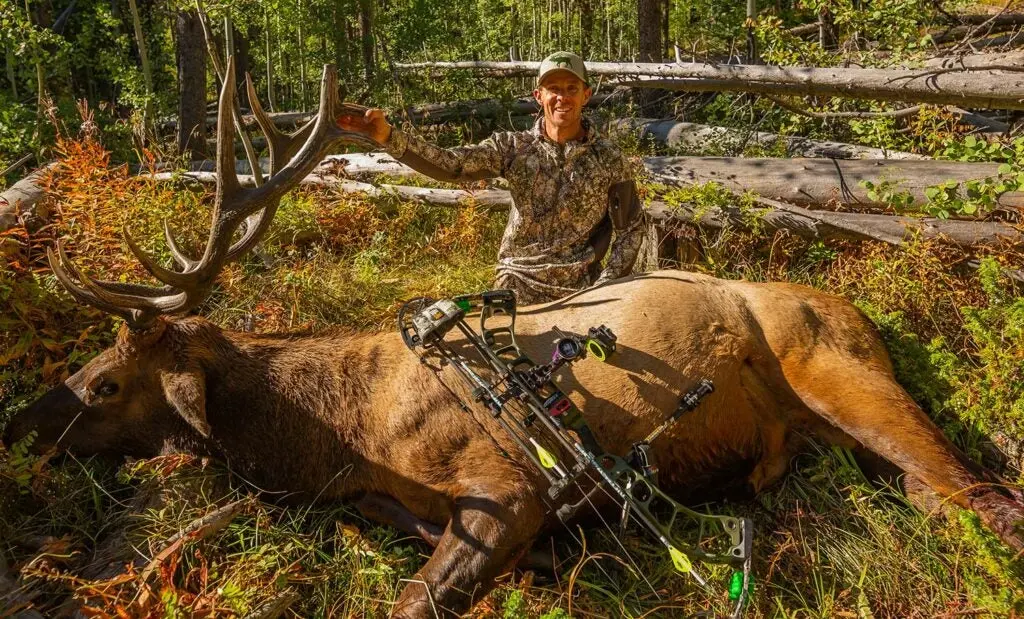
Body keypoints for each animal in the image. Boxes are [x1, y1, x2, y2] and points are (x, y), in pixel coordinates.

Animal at [2, 60, 1024, 614]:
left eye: (104, 383)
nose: (18, 425)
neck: (338, 436)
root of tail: (865, 314)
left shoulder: (510, 483)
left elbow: (413, 599)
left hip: (841, 368)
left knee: (976, 490)